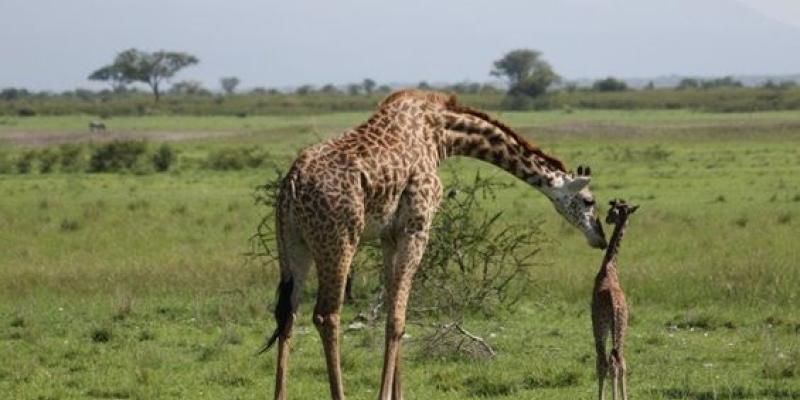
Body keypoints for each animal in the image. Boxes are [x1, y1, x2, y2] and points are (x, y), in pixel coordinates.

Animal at [262, 90, 608, 400]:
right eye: (588, 201)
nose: (600, 238)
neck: (442, 133)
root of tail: (291, 184)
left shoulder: (390, 235)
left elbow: (392, 310)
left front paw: (398, 394)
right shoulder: (418, 225)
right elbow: (397, 319)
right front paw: (385, 395)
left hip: (293, 245)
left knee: (288, 314)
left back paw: (280, 395)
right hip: (338, 239)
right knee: (327, 315)